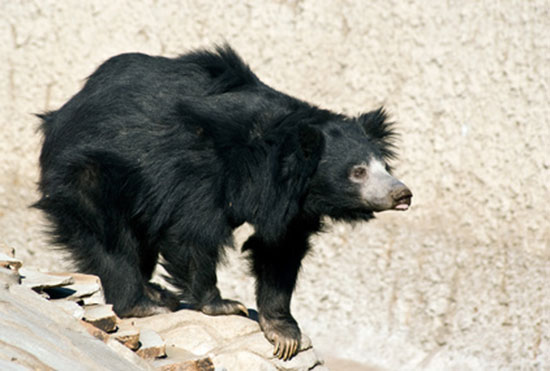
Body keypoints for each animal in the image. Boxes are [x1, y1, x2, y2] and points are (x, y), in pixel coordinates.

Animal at [35, 43, 414, 360]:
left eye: (384, 166)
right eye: (358, 172)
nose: (403, 194)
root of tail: (69, 107)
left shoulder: (292, 205)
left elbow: (279, 249)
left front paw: (283, 333)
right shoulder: (203, 168)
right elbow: (194, 230)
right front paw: (223, 305)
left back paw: (154, 293)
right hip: (92, 173)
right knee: (110, 238)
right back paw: (145, 303)